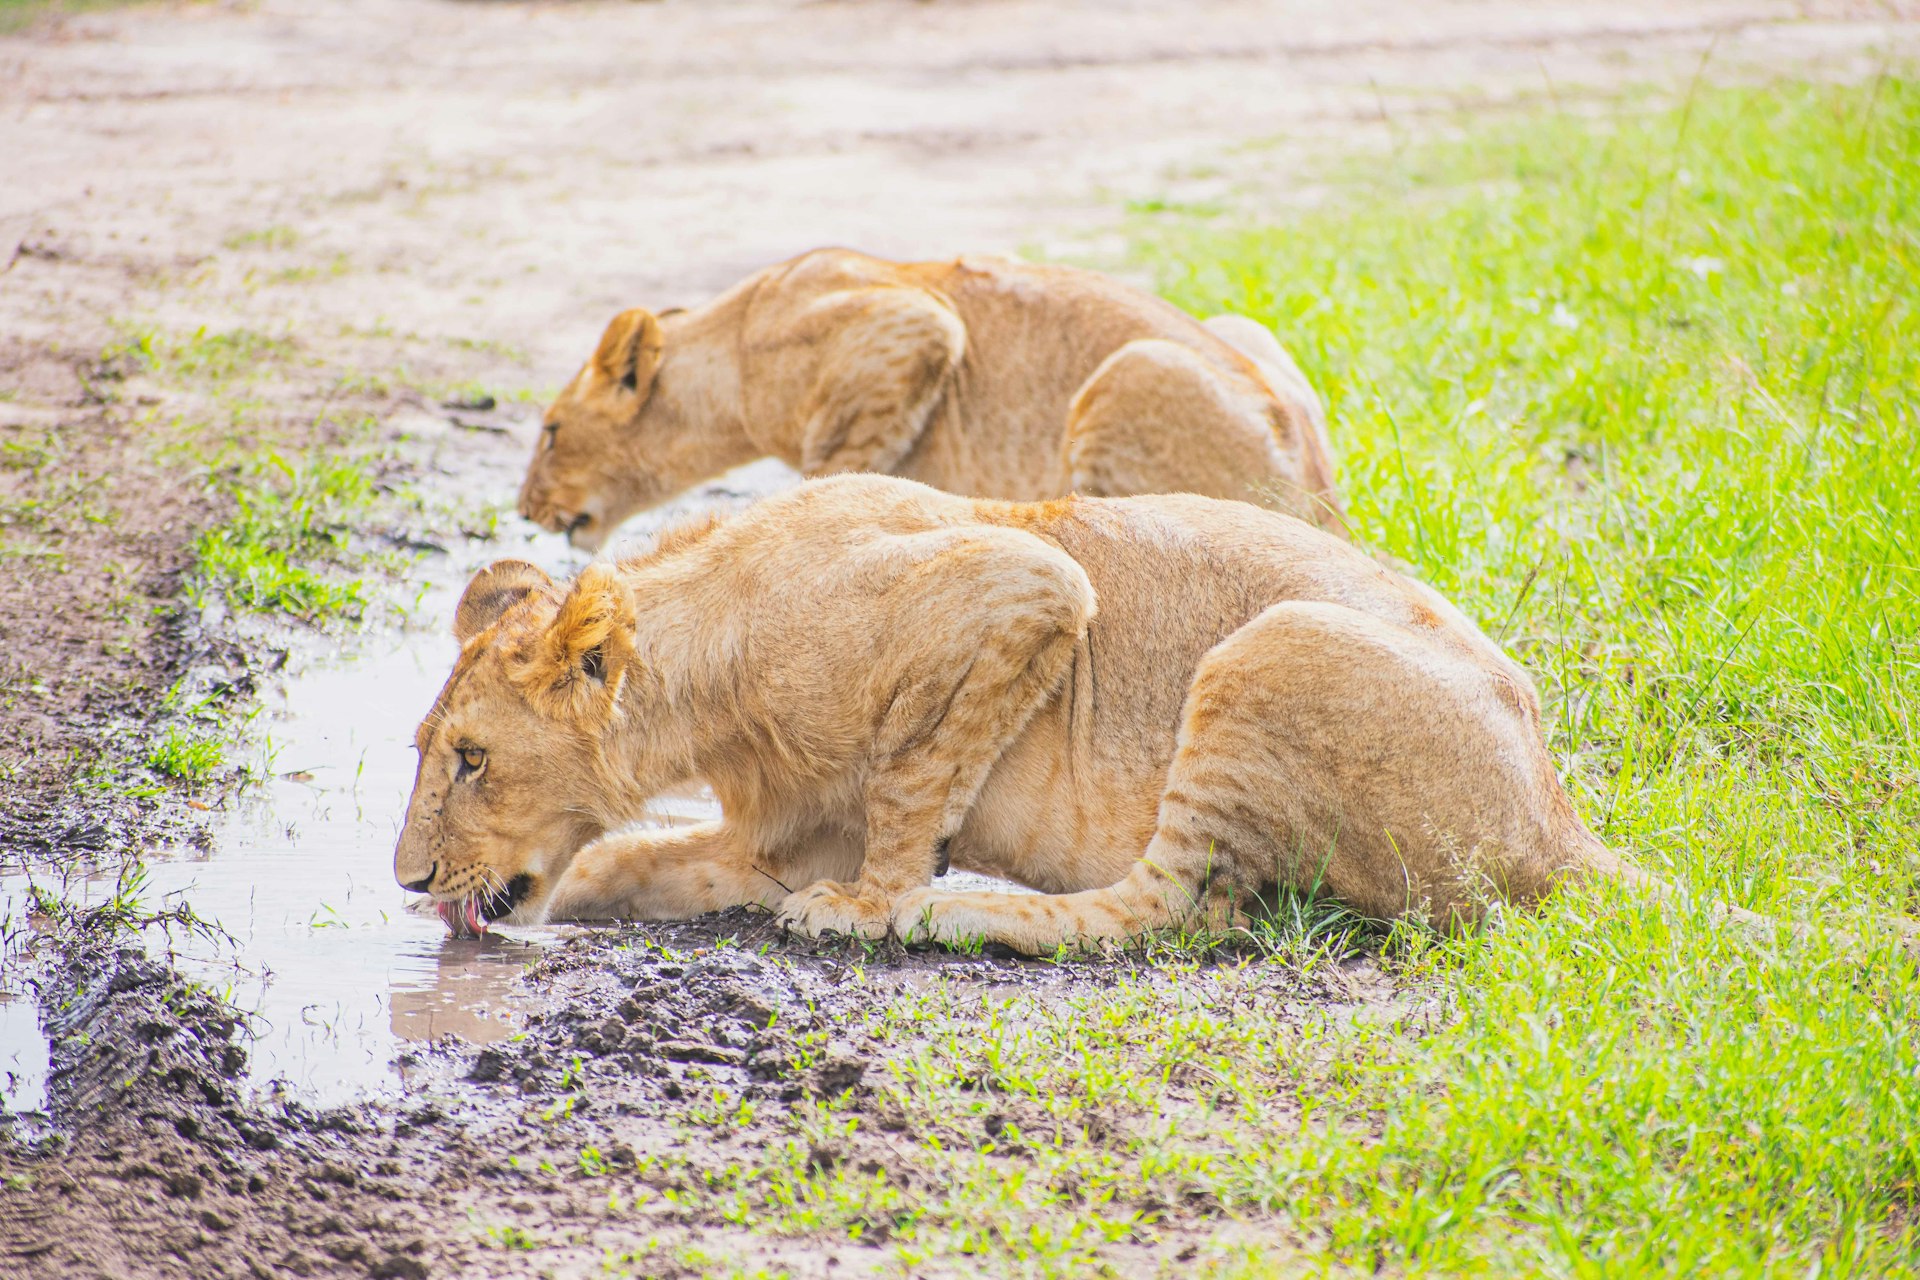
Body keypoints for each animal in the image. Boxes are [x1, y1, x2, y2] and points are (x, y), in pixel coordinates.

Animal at [395, 474, 1657, 954]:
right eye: (431, 751)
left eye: (470, 758)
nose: (407, 881)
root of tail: (1560, 824)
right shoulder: (773, 837)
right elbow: (639, 863)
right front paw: (578, 892)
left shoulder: (1025, 582)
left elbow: (910, 785)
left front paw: (871, 905)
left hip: (1270, 646)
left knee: (1174, 908)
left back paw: (960, 910)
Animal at [516, 248, 1344, 551]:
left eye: (551, 430)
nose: (523, 511)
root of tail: (1326, 500)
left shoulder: (910, 322)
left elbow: (834, 473)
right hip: (1241, 330)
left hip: (1131, 370)